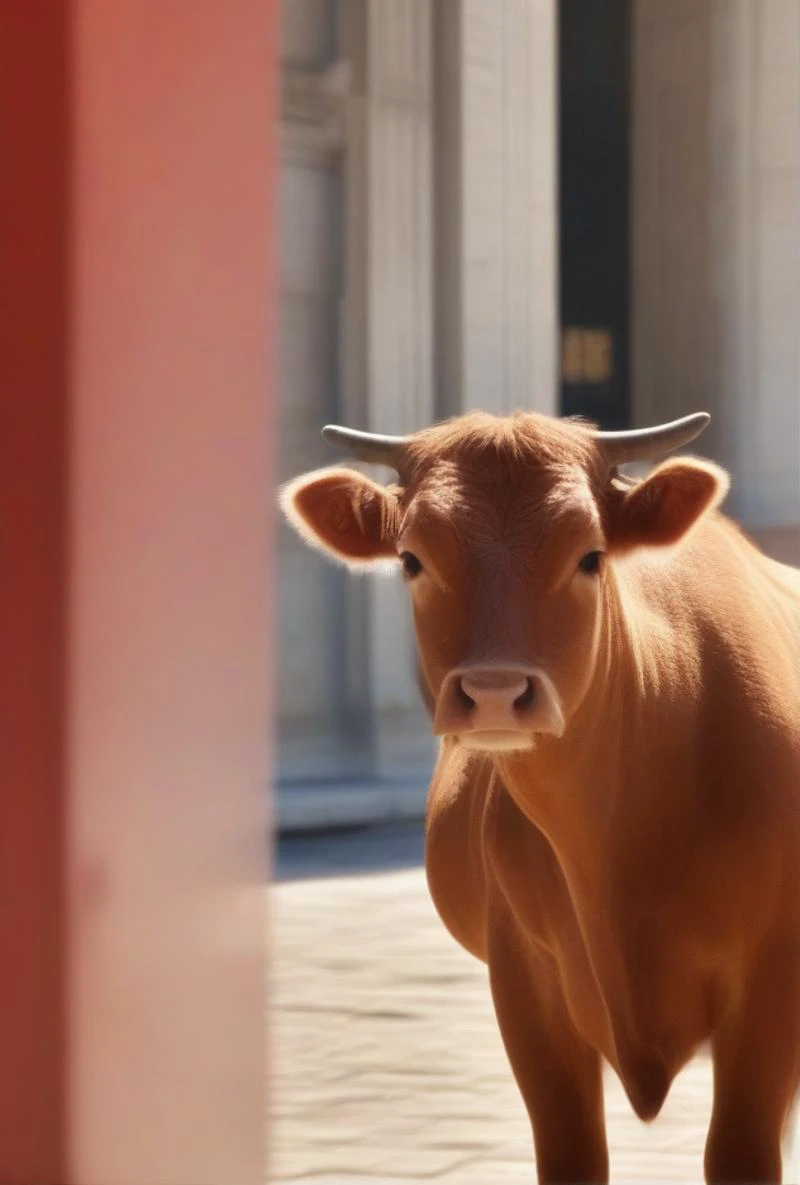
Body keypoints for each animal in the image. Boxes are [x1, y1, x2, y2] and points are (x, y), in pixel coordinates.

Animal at [279, 412, 800, 1180]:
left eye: (590, 555)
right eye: (412, 558)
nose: (495, 691)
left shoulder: (770, 983)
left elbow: (739, 1151)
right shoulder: (525, 981)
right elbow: (571, 1152)